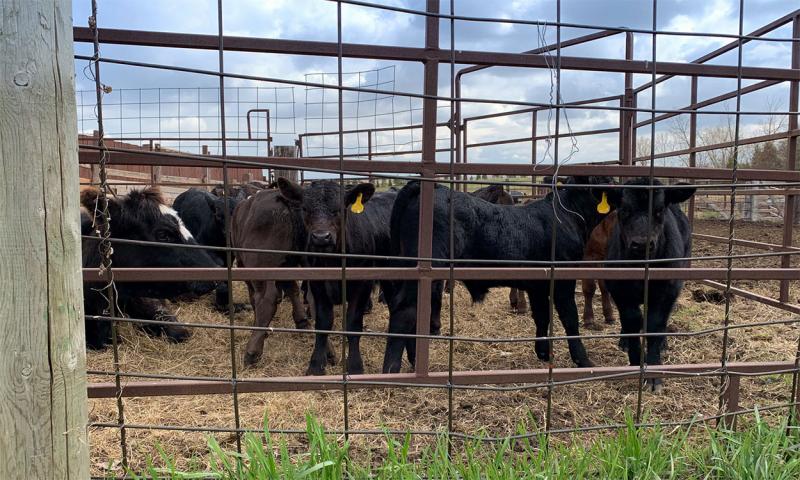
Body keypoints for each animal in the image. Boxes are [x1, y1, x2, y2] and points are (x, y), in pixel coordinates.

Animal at [231, 187, 311, 367]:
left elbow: (254, 298)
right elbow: (293, 290)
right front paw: (302, 321)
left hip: (259, 267)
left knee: (266, 299)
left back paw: (252, 353)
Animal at [275, 178, 396, 376]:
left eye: (339, 209)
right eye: (305, 208)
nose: (321, 237)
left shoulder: (362, 284)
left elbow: (353, 324)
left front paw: (355, 366)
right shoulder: (317, 286)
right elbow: (323, 323)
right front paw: (316, 365)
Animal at [382, 176, 614, 374]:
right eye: (610, 181)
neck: (566, 215)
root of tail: (435, 187)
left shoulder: (538, 285)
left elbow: (541, 316)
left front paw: (543, 352)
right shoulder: (563, 279)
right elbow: (569, 317)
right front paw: (583, 360)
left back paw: (413, 361)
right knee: (406, 309)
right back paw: (392, 369)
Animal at [603, 178, 695, 393]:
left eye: (659, 210)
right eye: (624, 209)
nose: (641, 244)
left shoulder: (667, 290)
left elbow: (655, 324)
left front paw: (653, 375)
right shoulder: (618, 289)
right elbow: (632, 320)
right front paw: (635, 360)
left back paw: (663, 343)